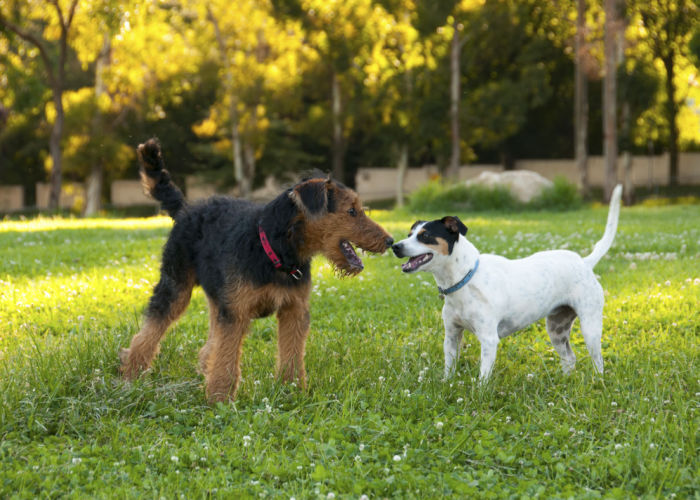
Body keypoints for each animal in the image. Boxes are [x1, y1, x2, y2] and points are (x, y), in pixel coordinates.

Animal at [120, 139, 394, 404]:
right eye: (352, 210)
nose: (389, 241)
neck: (276, 249)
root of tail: (186, 210)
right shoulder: (237, 312)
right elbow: (227, 359)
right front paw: (219, 400)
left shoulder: (293, 310)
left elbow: (291, 355)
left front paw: (292, 391)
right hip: (176, 287)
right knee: (148, 333)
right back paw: (131, 374)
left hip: (218, 298)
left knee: (209, 343)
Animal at [394, 186, 624, 380]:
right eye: (409, 235)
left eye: (425, 236)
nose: (395, 246)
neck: (465, 279)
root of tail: (584, 262)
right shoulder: (451, 335)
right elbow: (449, 368)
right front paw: (446, 384)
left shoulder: (488, 339)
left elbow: (483, 377)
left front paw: (479, 395)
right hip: (556, 329)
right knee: (569, 358)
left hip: (590, 327)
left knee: (598, 360)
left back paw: (598, 380)